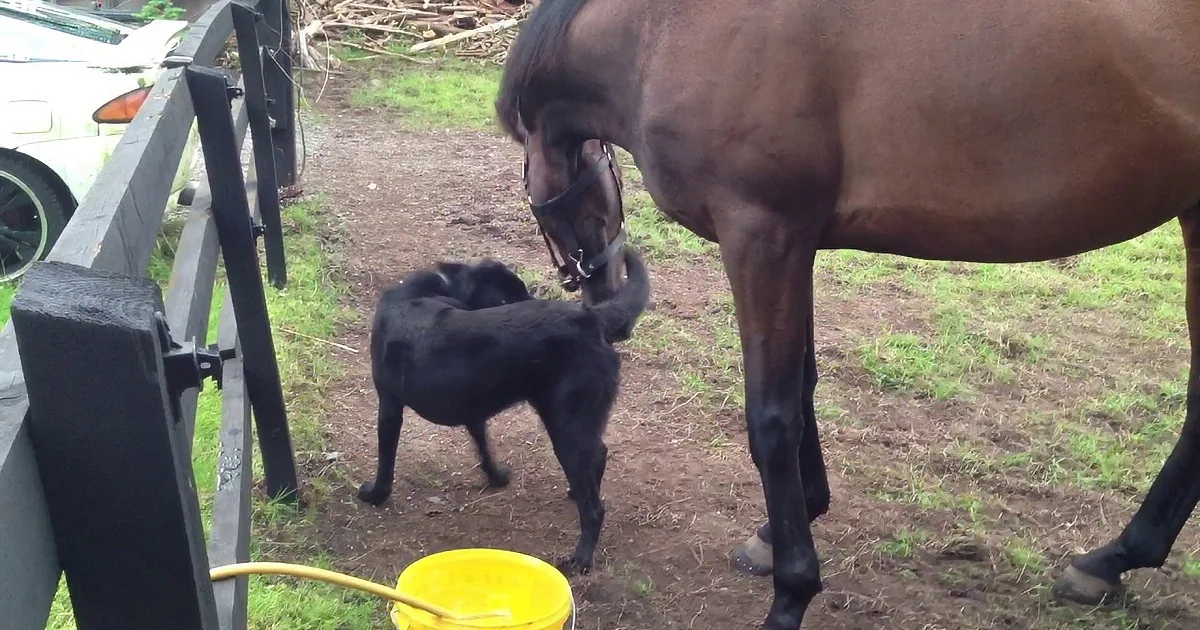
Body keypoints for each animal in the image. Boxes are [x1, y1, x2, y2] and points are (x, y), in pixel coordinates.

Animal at [495, 0, 1200, 627]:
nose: (604, 297)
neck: (660, 27)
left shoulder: (761, 234)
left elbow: (772, 416)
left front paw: (792, 594)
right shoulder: (794, 241)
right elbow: (802, 389)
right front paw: (786, 526)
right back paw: (1111, 561)